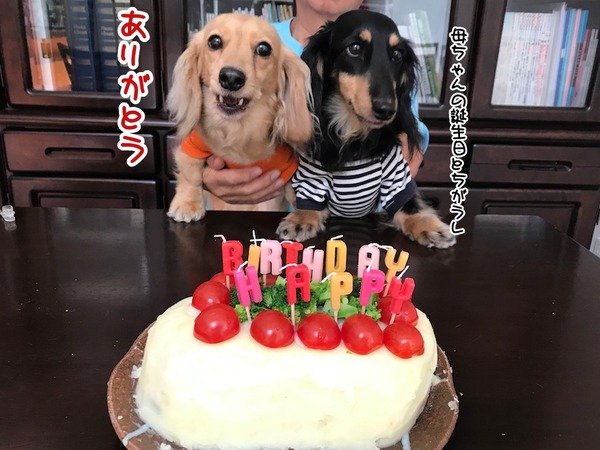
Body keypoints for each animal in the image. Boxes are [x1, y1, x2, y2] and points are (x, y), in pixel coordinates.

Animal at [166, 13, 313, 222]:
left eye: (263, 48)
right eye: (214, 41)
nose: (231, 78)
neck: (238, 130)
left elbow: (296, 187)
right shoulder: (193, 145)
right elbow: (190, 172)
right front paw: (187, 204)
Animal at [276, 10, 456, 248]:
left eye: (397, 54)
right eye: (354, 48)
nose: (387, 109)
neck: (353, 134)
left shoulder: (396, 176)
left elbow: (409, 205)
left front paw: (429, 226)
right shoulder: (311, 176)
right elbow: (309, 200)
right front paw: (302, 219)